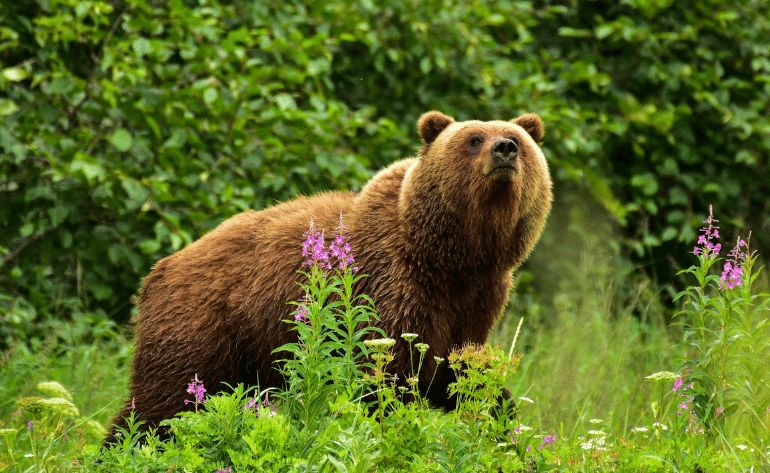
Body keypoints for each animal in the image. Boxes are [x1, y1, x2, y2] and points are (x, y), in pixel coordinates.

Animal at [105, 111, 552, 442]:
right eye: (474, 138)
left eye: (517, 138)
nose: (505, 149)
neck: (452, 257)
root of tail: (162, 267)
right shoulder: (394, 286)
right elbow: (385, 377)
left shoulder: (477, 300)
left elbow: (460, 369)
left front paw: (501, 417)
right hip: (203, 321)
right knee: (164, 400)